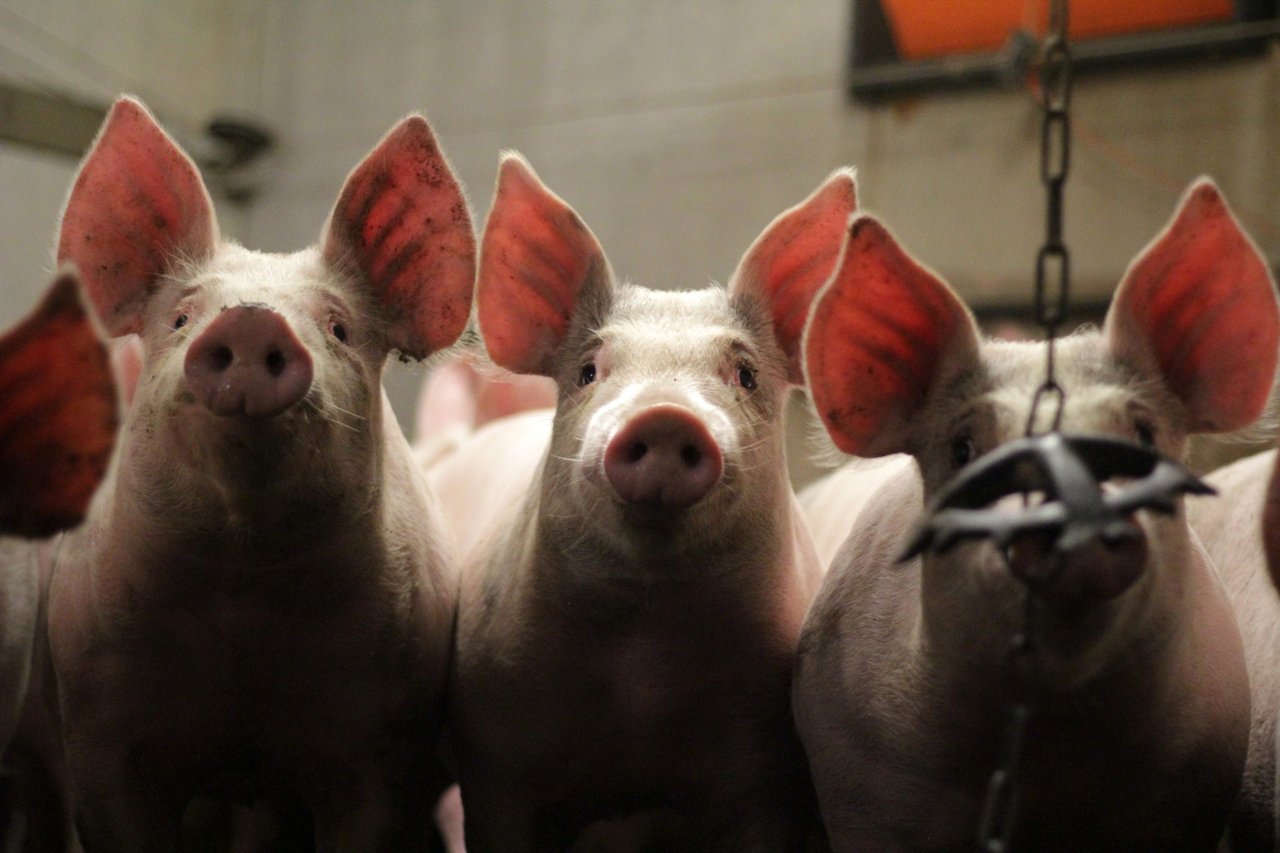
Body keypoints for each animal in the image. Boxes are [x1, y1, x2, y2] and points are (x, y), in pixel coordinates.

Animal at [793, 175, 1274, 845]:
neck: (1051, 748)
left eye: (1143, 436)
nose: (1070, 516)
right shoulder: (864, 787)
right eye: (964, 449)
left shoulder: (1189, 794)